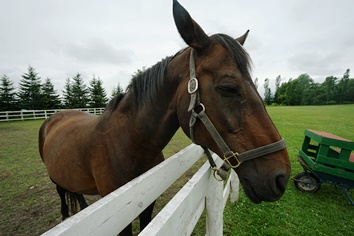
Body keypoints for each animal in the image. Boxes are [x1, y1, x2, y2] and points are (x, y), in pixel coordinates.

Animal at [38, 0, 290, 235]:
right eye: (228, 88)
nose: (282, 177)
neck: (128, 144)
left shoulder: (147, 204)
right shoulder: (120, 220)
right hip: (54, 179)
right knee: (62, 194)